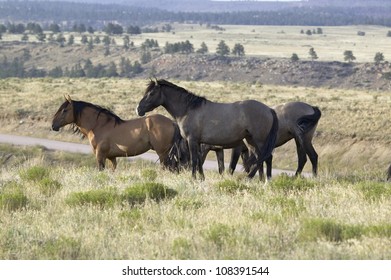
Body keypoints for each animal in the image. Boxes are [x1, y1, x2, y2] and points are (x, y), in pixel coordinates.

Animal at [50, 95, 182, 171]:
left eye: (64, 110)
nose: (53, 125)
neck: (99, 125)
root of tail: (172, 122)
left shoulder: (100, 155)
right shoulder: (111, 158)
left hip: (162, 153)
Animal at [138, 79, 278, 179]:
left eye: (151, 93)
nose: (138, 109)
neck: (188, 109)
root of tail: (269, 109)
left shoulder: (192, 140)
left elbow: (194, 160)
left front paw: (193, 178)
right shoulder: (199, 143)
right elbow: (200, 161)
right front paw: (201, 178)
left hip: (259, 140)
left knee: (267, 157)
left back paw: (260, 179)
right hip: (250, 141)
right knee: (261, 158)